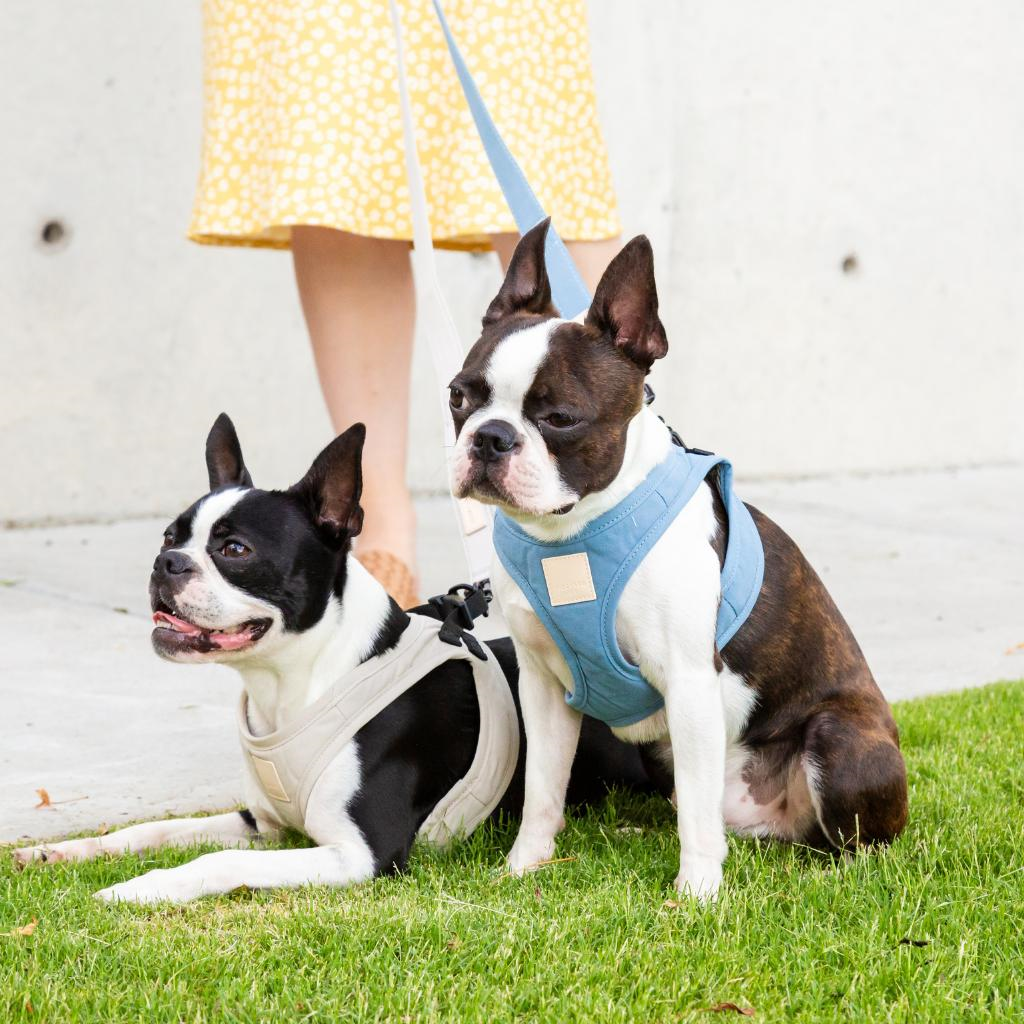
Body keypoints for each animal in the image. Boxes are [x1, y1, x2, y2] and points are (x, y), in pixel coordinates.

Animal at [14, 415, 663, 905]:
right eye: (169, 537)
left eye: (234, 549)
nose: (166, 563)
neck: (295, 687)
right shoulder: (263, 824)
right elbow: (157, 829)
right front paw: (64, 850)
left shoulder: (360, 854)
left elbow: (216, 861)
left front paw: (140, 888)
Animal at [452, 222, 909, 897]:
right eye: (459, 398)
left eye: (560, 418)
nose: (489, 437)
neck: (571, 534)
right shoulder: (541, 686)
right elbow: (542, 788)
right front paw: (524, 865)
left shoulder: (689, 683)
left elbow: (694, 809)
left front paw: (696, 893)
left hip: (838, 739)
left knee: (851, 839)